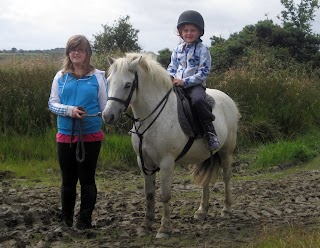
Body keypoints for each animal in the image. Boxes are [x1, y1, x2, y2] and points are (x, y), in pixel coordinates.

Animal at [101, 52, 239, 238]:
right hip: (203, 155)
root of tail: (227, 99)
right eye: (108, 81)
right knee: (205, 181)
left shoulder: (166, 163)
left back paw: (226, 209)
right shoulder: (143, 162)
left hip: (226, 152)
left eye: (128, 84)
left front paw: (164, 228)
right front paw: (146, 225)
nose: (107, 116)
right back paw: (202, 211)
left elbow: (164, 195)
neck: (152, 117)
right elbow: (149, 194)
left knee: (226, 177)